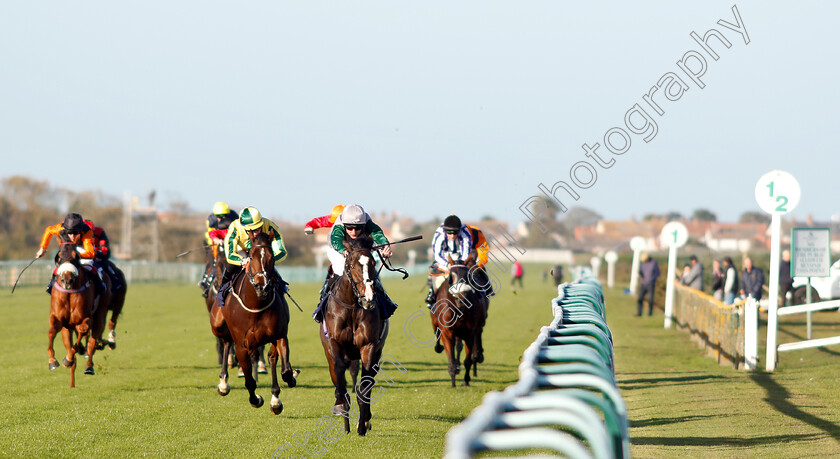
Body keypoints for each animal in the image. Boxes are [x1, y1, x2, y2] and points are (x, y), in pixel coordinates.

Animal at [47, 232, 98, 386]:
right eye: (58, 256)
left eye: (76, 256)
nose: (67, 280)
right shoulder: (57, 318)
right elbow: (51, 331)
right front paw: (52, 361)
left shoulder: (85, 317)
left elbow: (83, 330)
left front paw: (68, 359)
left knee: (90, 339)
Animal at [210, 232, 298, 416]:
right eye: (251, 256)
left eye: (271, 257)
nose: (262, 286)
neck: (256, 306)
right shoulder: (242, 345)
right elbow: (249, 381)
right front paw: (256, 399)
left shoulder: (279, 335)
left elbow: (285, 370)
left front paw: (289, 380)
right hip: (218, 324)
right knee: (226, 342)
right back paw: (223, 382)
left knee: (271, 358)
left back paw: (275, 399)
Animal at [320, 235, 388, 436]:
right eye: (350, 265)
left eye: (373, 262)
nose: (369, 298)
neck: (351, 307)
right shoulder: (334, 344)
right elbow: (340, 377)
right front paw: (343, 413)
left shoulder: (369, 346)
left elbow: (364, 387)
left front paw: (362, 426)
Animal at [430, 253, 488, 386]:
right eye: (451, 277)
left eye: (467, 276)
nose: (462, 299)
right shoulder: (447, 332)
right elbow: (451, 358)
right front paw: (453, 380)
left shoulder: (469, 333)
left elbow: (468, 359)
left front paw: (466, 380)